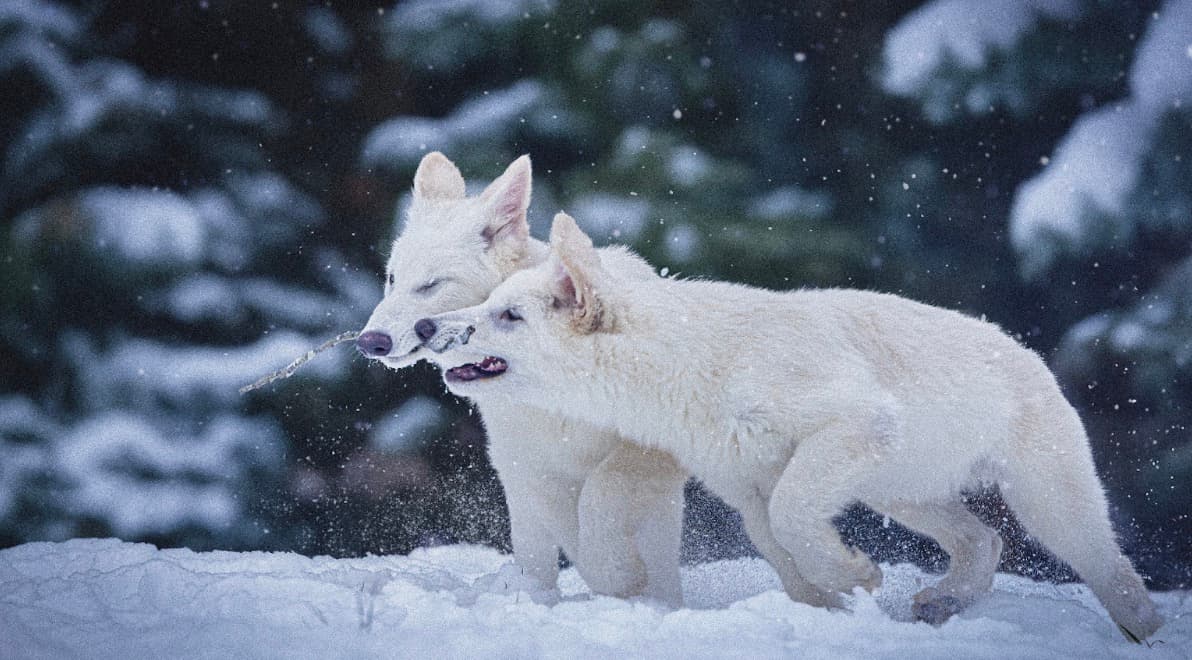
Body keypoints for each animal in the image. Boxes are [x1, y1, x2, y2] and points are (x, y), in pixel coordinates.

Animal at [356, 153, 688, 605]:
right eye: (392, 279)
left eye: (430, 285)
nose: (370, 341)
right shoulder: (526, 468)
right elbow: (556, 544)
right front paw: (552, 593)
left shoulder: (647, 452)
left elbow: (601, 494)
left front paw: (617, 577)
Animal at [416, 211, 1164, 642]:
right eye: (489, 302)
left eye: (508, 316)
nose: (428, 328)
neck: (691, 364)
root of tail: (1027, 350)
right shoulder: (743, 481)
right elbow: (777, 540)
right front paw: (830, 603)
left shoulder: (847, 424)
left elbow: (795, 514)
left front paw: (855, 575)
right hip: (901, 490)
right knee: (983, 538)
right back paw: (941, 603)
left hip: (1043, 495)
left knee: (1106, 561)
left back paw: (1143, 626)